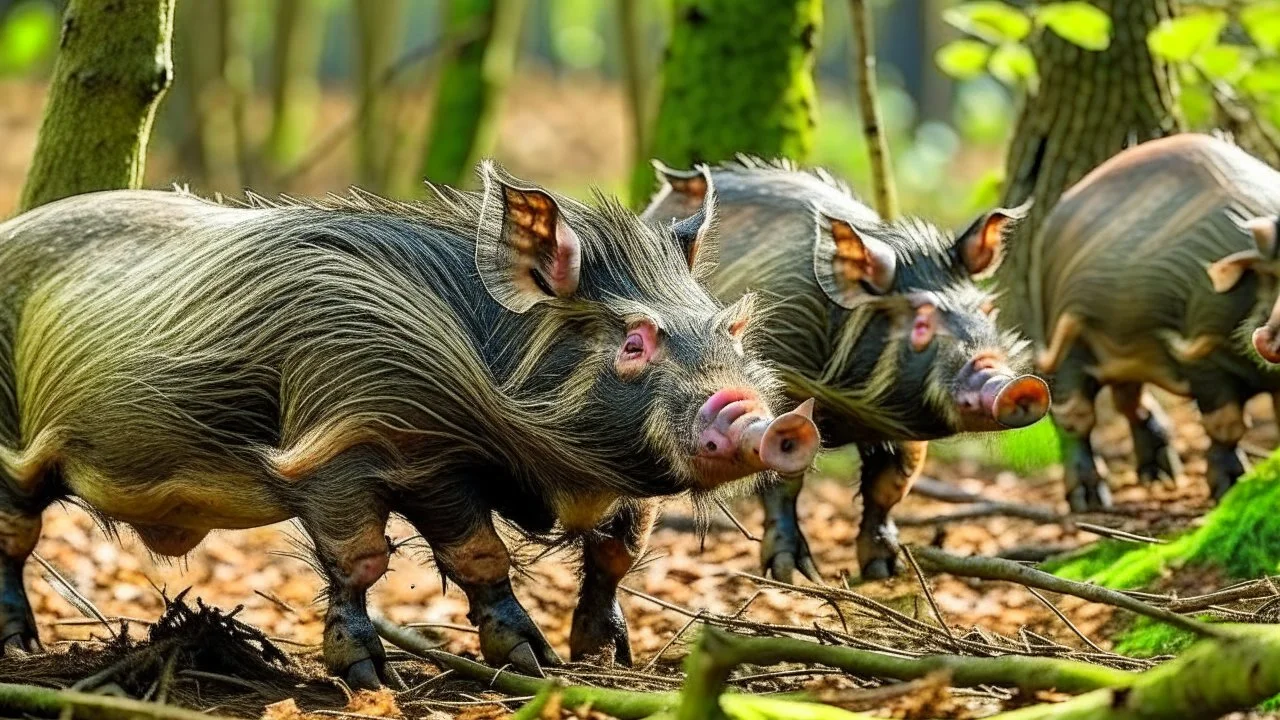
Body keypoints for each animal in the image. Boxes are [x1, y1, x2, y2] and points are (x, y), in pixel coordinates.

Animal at [0, 162, 819, 681]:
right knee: (16, 532)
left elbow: (616, 551)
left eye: (731, 327)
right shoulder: (352, 444)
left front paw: (596, 659)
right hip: (11, 441)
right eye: (634, 340)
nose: (775, 422)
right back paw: (20, 647)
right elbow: (405, 557)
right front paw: (397, 675)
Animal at [640, 159, 1049, 579]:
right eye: (921, 322)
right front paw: (792, 573)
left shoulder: (902, 429)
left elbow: (890, 483)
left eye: (988, 311)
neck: (854, 410)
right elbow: (783, 482)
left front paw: (885, 570)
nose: (1018, 384)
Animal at [1029, 131, 1280, 507]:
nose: (1270, 337)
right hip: (1063, 333)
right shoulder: (1199, 352)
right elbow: (1226, 423)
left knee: (1130, 402)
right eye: (1274, 275)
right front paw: (1228, 491)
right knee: (1075, 416)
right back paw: (1090, 500)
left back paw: (1160, 477)